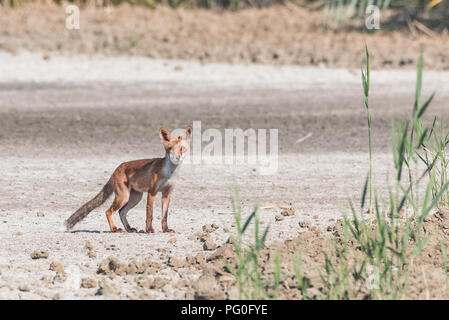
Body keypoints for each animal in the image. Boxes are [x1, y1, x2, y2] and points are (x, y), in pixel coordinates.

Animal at [62, 125, 192, 232]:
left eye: (182, 148)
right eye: (170, 148)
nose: (177, 157)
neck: (169, 173)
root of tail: (117, 168)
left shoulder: (166, 194)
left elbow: (164, 216)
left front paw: (165, 230)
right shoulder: (152, 192)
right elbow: (149, 213)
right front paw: (149, 230)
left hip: (135, 198)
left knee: (121, 212)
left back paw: (129, 228)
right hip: (123, 197)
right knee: (108, 211)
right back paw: (114, 229)